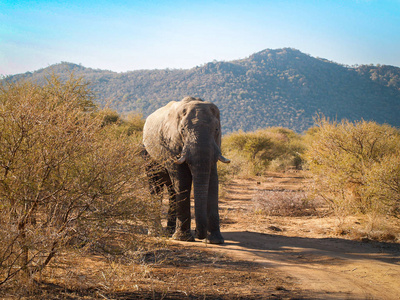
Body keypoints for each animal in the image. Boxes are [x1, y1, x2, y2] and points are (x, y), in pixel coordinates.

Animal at [142, 96, 230, 244]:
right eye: (182, 131)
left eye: (217, 129)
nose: (198, 233)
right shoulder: (171, 145)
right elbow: (182, 179)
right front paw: (184, 238)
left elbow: (213, 180)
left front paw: (216, 240)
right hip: (147, 155)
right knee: (156, 187)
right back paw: (155, 232)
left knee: (171, 190)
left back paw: (169, 232)